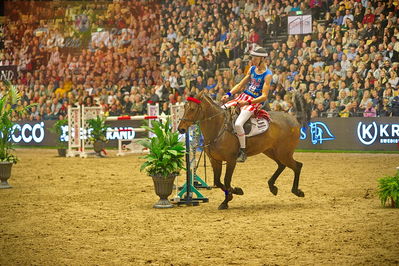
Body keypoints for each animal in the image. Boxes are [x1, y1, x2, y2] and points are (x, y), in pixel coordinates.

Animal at [178, 91, 312, 210]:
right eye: (184, 107)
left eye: (192, 109)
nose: (181, 129)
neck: (219, 128)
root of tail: (293, 120)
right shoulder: (215, 160)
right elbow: (217, 181)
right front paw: (232, 194)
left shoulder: (231, 160)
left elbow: (226, 180)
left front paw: (229, 198)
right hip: (271, 151)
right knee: (282, 165)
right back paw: (272, 187)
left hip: (284, 153)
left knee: (297, 166)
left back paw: (296, 191)